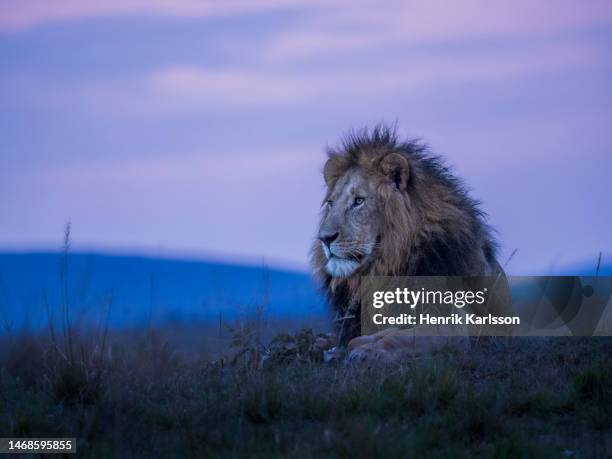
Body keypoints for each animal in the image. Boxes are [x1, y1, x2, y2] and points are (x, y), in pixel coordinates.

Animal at [314, 126, 510, 362]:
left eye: (359, 201)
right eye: (331, 203)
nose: (324, 238)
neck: (385, 268)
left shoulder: (458, 323)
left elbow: (403, 337)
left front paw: (369, 352)